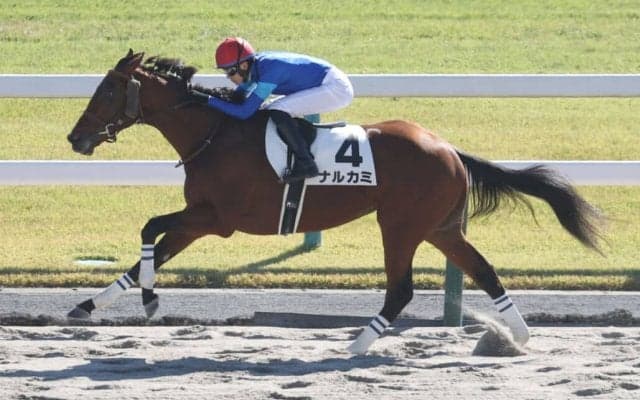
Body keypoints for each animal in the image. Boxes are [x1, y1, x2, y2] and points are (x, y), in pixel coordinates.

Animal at [66, 49, 604, 354]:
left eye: (108, 90)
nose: (76, 138)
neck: (214, 133)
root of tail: (449, 149)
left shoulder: (214, 218)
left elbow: (150, 230)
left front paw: (149, 298)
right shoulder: (200, 219)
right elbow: (150, 248)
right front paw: (91, 304)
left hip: (401, 225)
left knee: (401, 290)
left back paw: (356, 346)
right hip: (442, 227)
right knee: (485, 271)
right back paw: (519, 336)